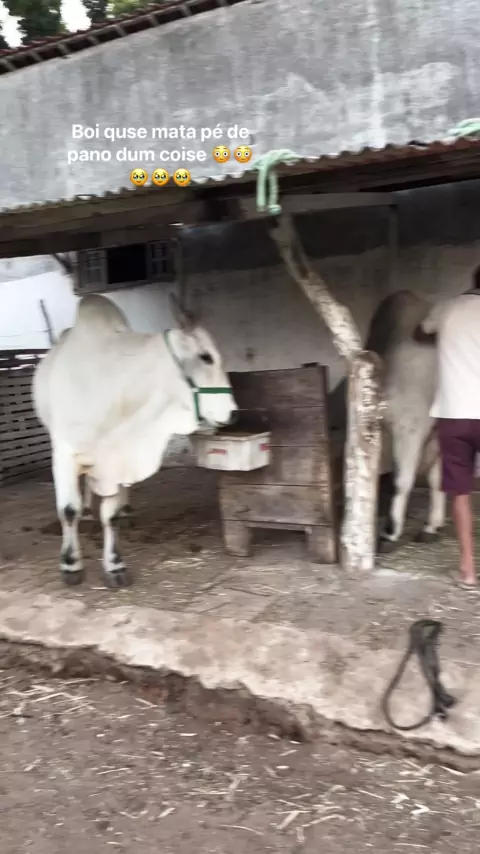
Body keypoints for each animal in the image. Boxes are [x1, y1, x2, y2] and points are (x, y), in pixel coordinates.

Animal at [33, 292, 238, 589]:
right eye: (206, 357)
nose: (233, 413)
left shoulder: (120, 457)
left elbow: (111, 515)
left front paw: (115, 564)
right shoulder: (64, 453)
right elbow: (68, 510)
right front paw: (71, 564)